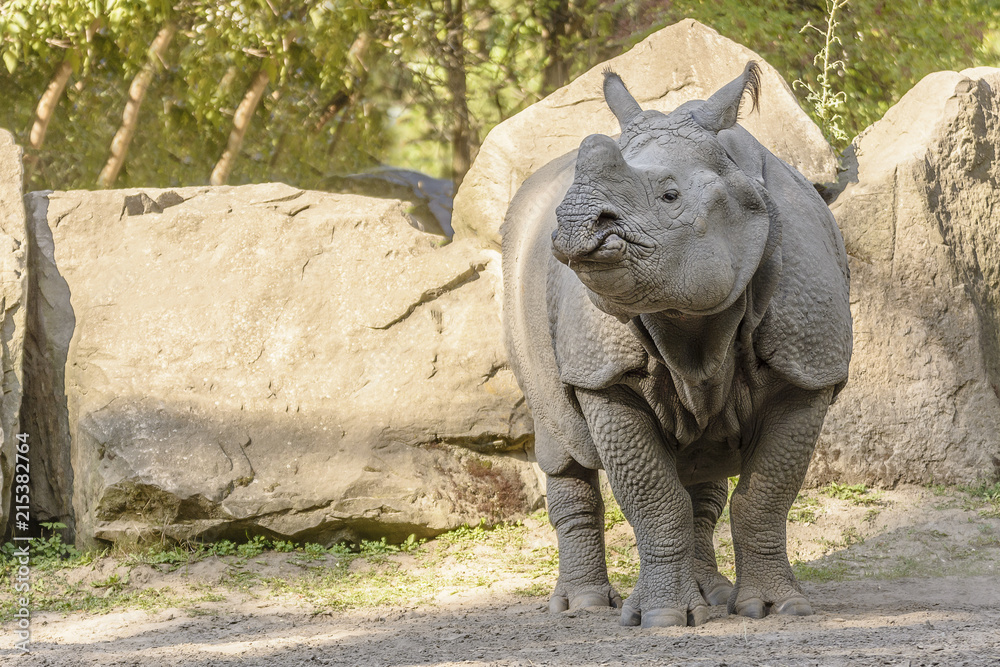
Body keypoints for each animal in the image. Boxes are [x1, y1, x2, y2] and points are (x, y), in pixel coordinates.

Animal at [501, 61, 852, 628]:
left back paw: (714, 597)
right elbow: (653, 499)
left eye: (670, 196)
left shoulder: (809, 368)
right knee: (561, 442)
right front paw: (662, 618)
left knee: (702, 468)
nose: (575, 223)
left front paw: (777, 607)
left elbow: (765, 498)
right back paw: (583, 605)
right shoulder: (604, 374)